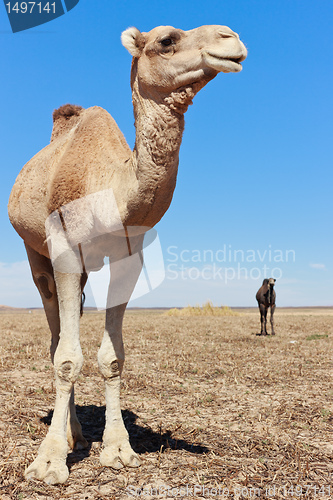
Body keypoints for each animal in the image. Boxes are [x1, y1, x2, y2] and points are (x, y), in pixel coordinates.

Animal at [7, 24, 246, 484]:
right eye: (166, 40)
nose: (231, 38)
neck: (110, 189)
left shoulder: (129, 257)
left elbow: (112, 357)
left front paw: (118, 450)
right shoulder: (64, 248)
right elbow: (67, 358)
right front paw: (48, 462)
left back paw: (78, 435)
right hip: (35, 254)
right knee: (54, 338)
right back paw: (68, 436)